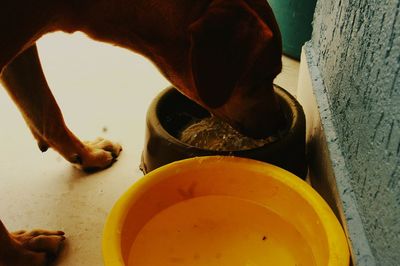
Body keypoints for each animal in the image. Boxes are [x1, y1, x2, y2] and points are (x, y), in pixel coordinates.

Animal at [0, 0, 282, 264]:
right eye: (267, 75)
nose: (277, 124)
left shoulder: (22, 47)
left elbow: (47, 112)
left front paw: (87, 154)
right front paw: (22, 254)